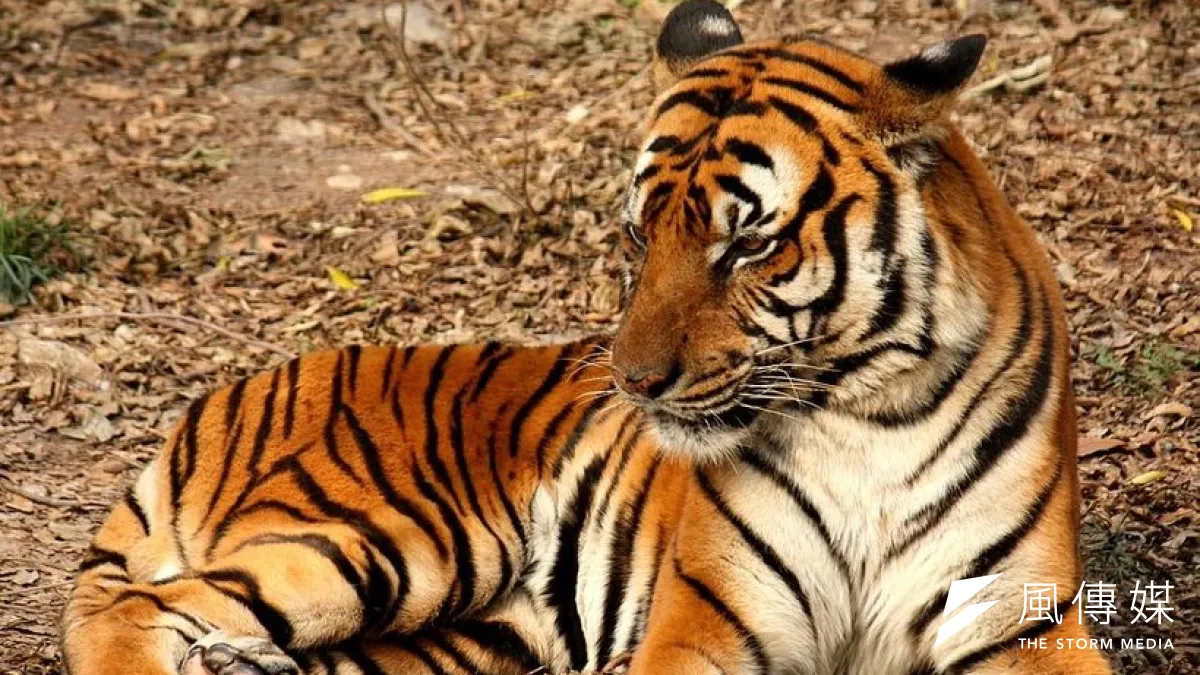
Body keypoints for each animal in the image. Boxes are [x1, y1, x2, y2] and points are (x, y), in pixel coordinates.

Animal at [60, 1, 1112, 674]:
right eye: (640, 235)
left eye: (747, 243)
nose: (636, 383)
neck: (864, 414)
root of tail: (217, 400)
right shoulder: (709, 618)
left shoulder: (1019, 617)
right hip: (389, 536)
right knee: (132, 607)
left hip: (470, 632)